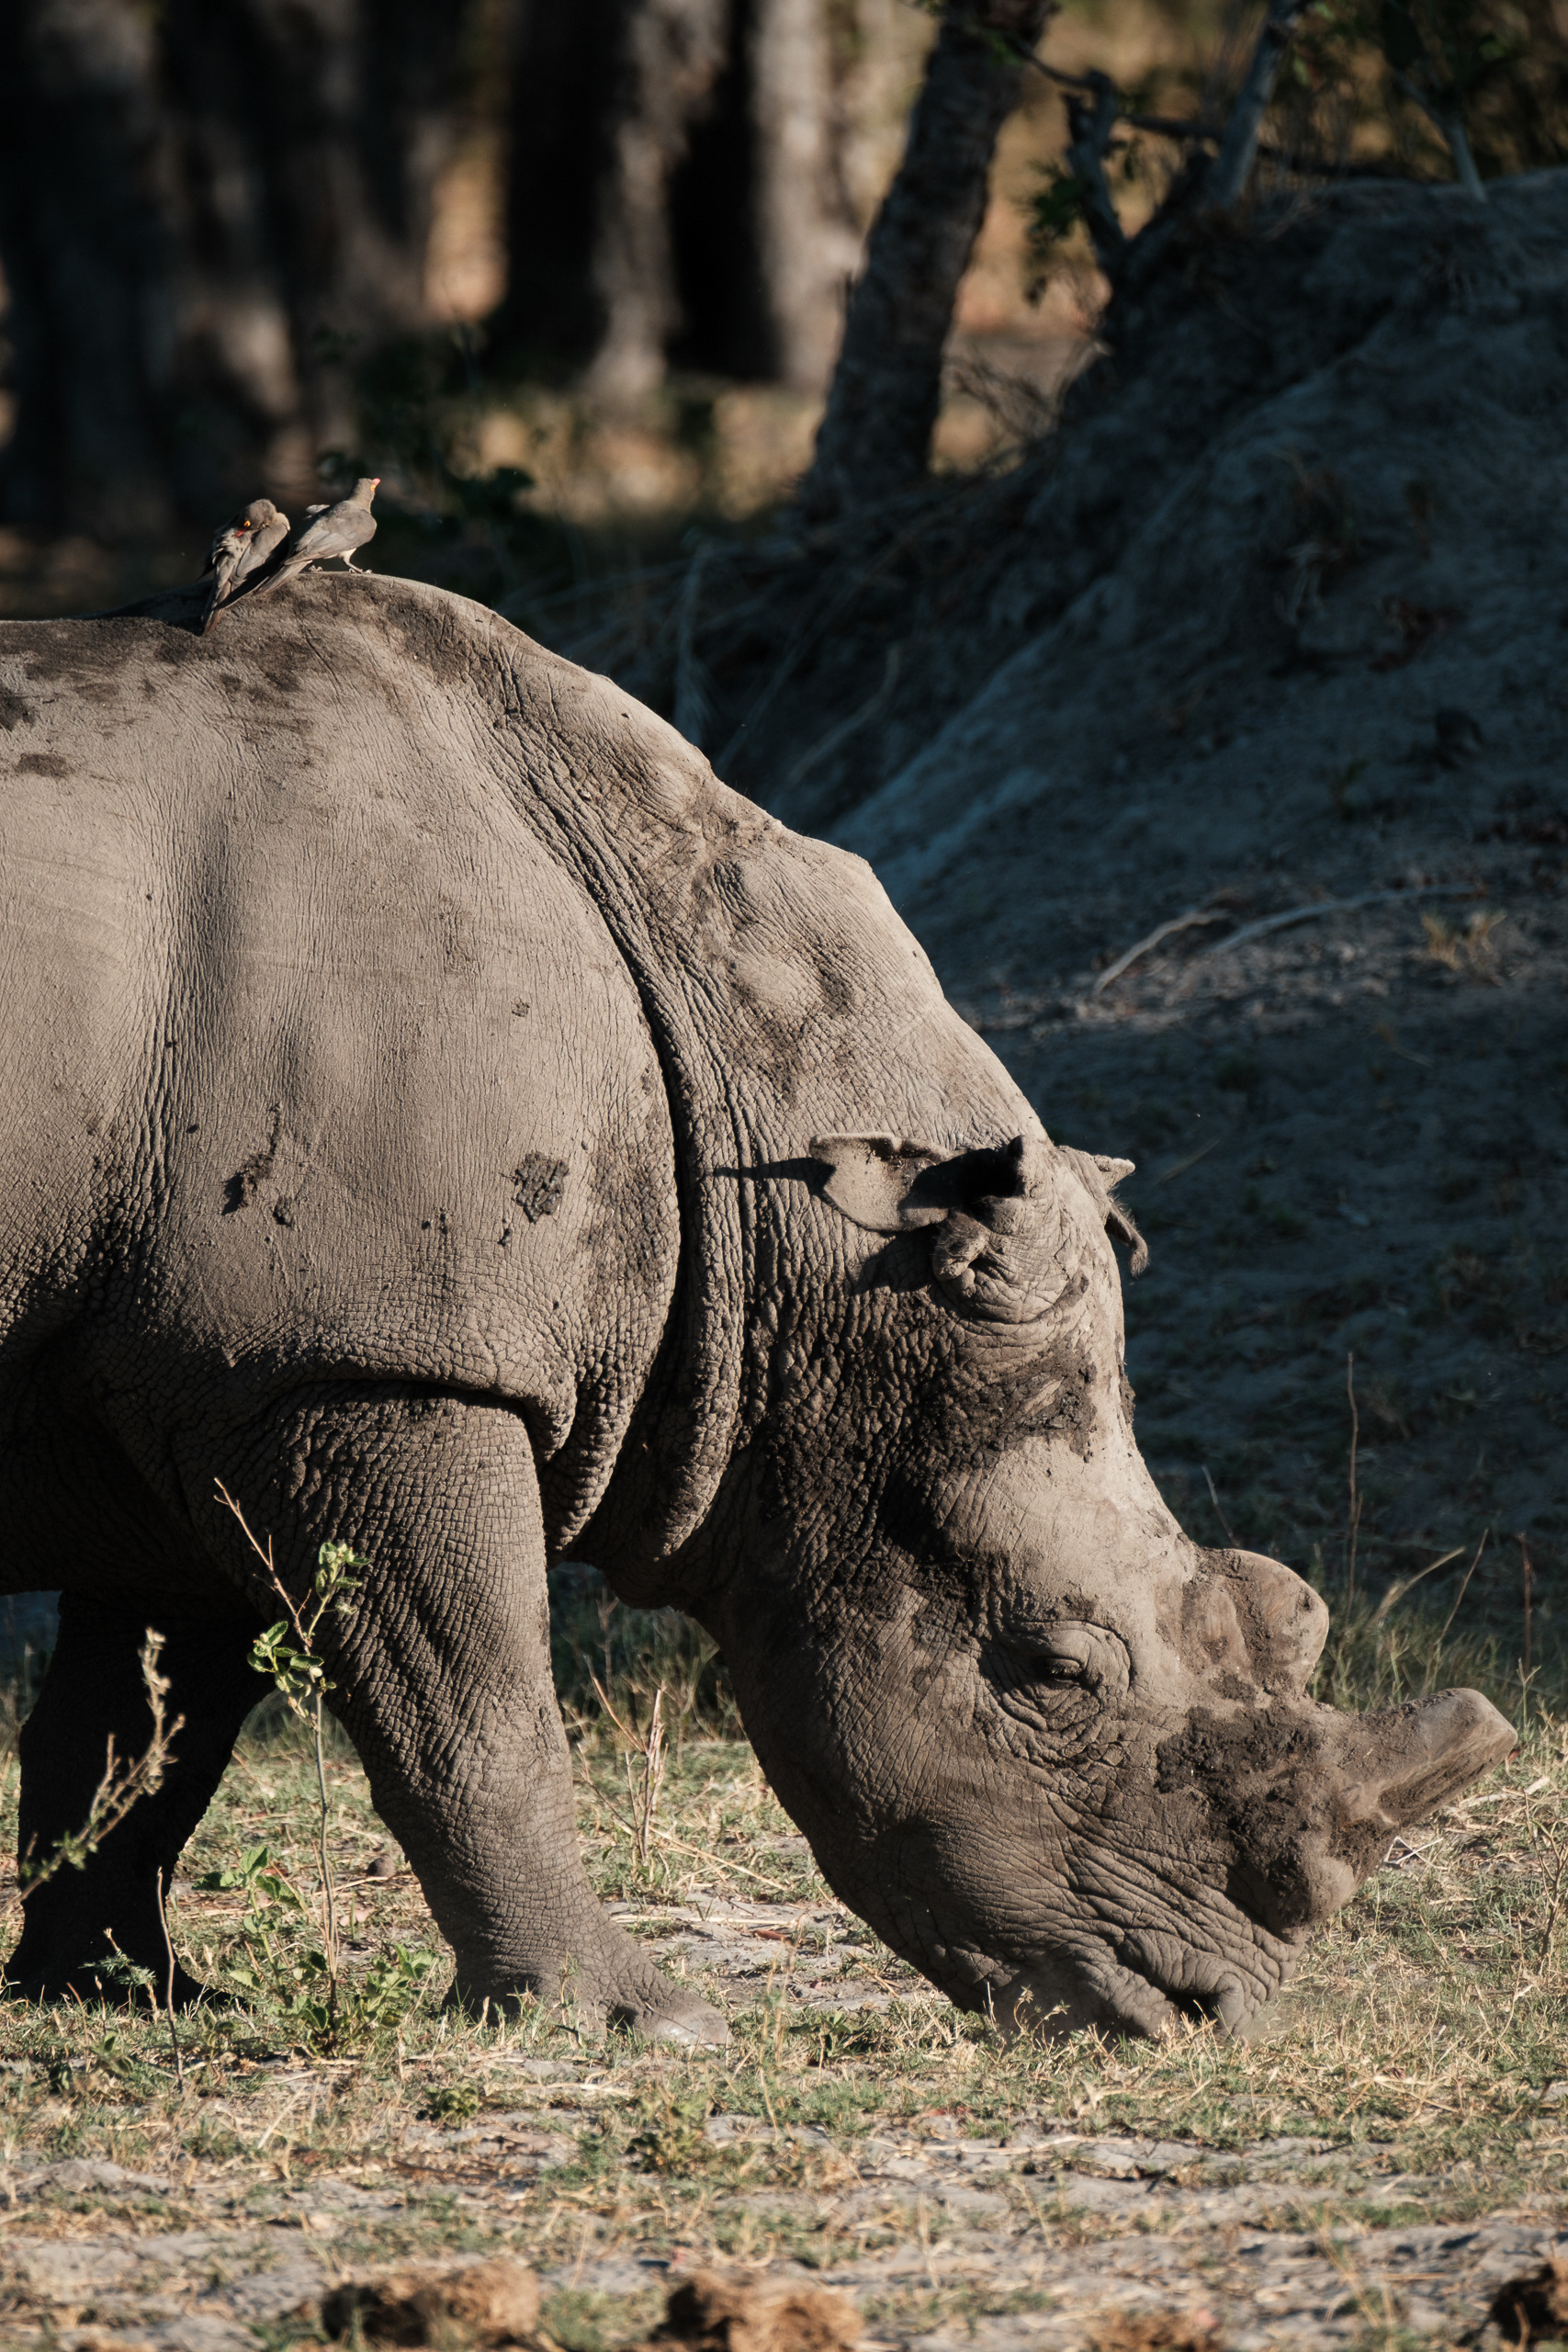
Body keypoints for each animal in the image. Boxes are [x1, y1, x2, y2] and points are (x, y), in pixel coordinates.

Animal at [0, 576, 1512, 2040]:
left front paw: (118, 1992)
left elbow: (143, 1733)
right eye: (1050, 1673)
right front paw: (636, 2027)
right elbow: (476, 1712)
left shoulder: (214, 1367)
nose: (1208, 2015)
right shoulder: (363, 1360)